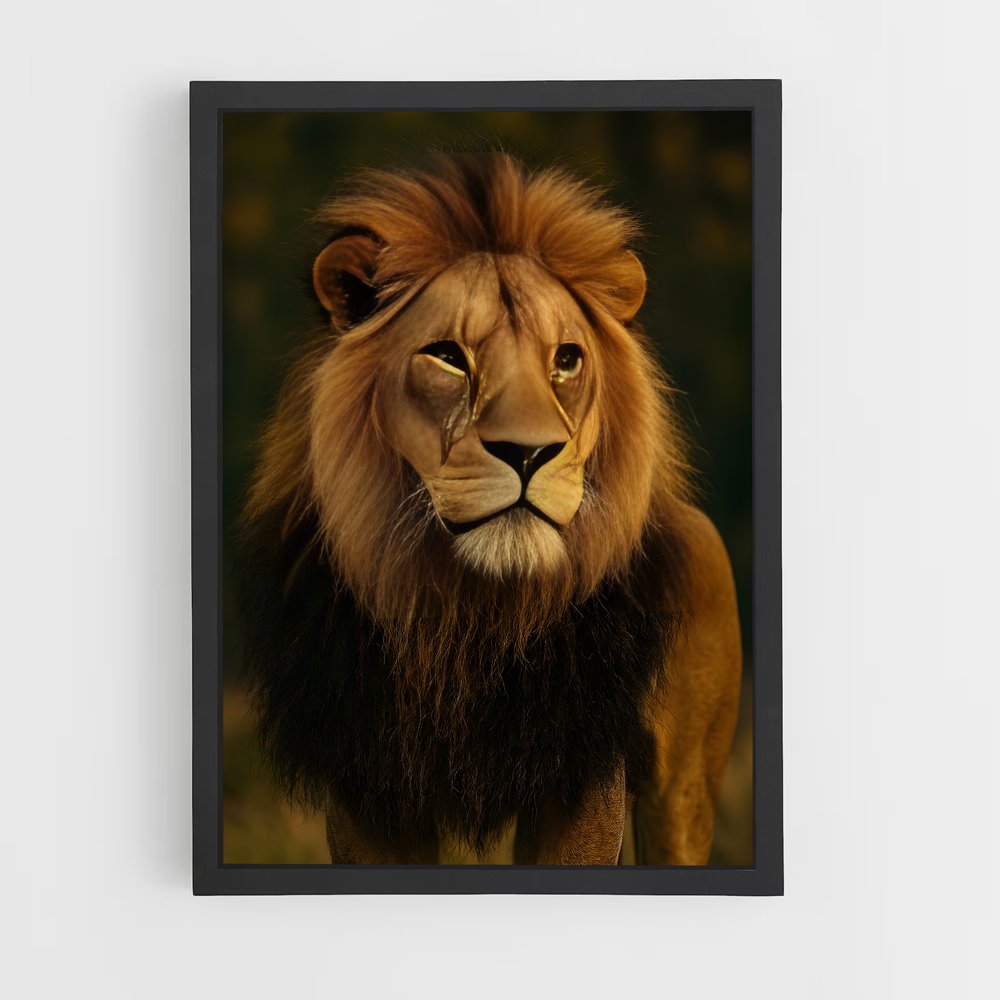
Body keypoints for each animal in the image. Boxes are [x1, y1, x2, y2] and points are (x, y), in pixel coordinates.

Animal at [236, 151, 742, 865]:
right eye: (448, 357)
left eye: (567, 360)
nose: (529, 453)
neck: (472, 615)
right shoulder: (367, 781)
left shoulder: (582, 775)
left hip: (682, 796)